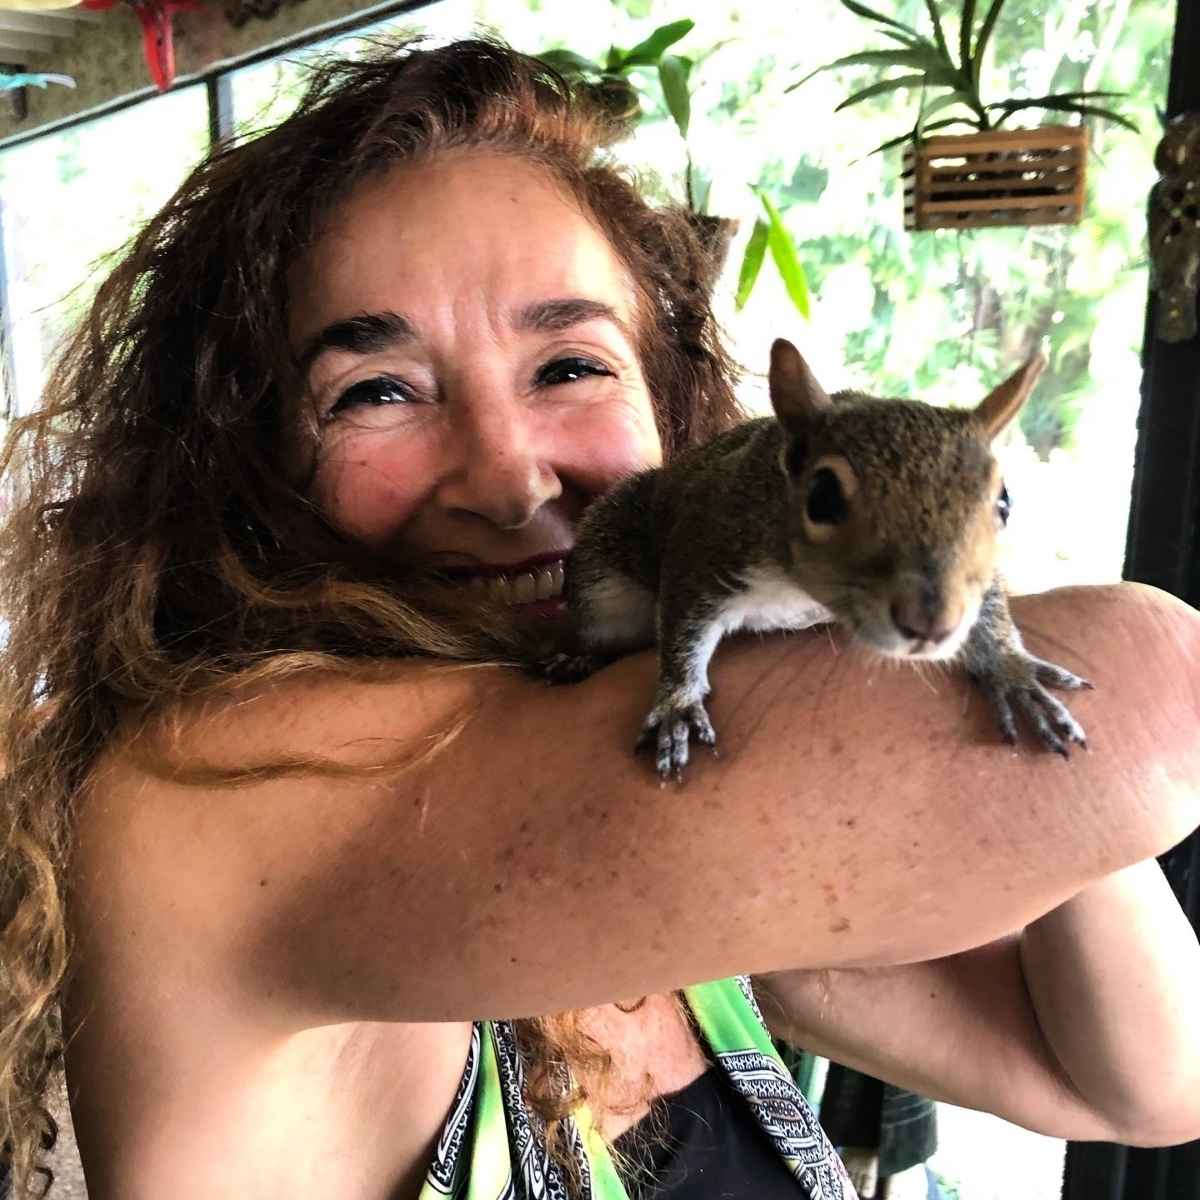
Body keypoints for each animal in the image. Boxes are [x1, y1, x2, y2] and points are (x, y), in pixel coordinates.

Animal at [543, 338, 1091, 782]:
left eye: (1005, 501)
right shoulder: (706, 539)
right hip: (603, 577)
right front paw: (678, 703)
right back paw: (579, 658)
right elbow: (682, 627)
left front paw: (1010, 670)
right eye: (823, 496)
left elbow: (990, 603)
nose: (932, 622)